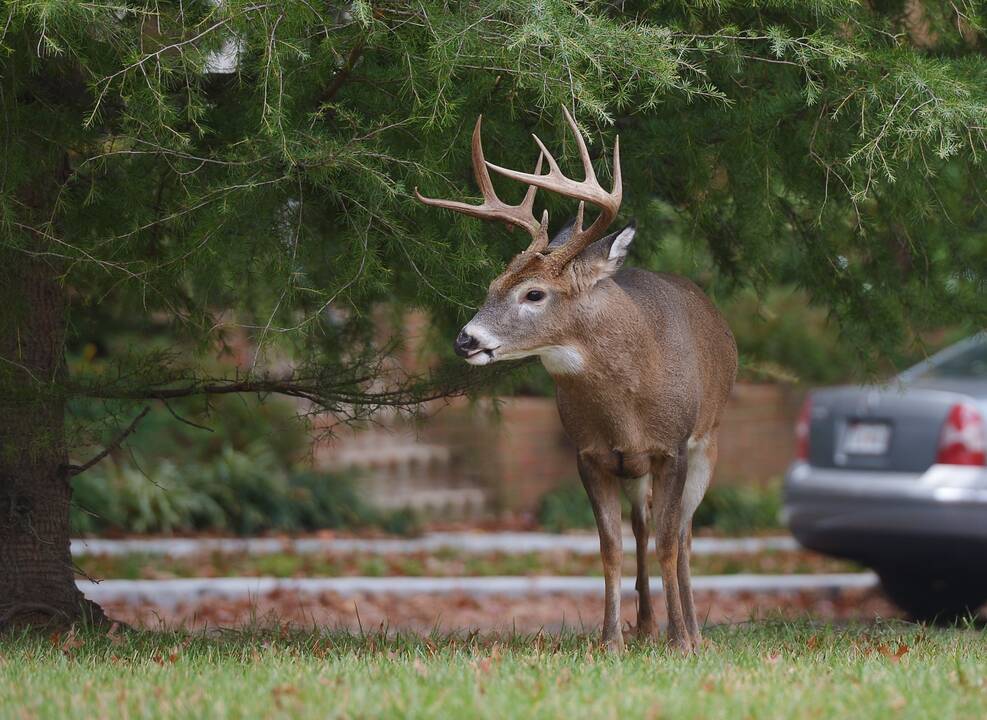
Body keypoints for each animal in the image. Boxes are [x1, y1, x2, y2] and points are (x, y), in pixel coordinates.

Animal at [412, 108, 736, 652]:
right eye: (491, 285)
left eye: (534, 293)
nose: (465, 340)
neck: (627, 404)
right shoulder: (589, 454)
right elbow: (610, 547)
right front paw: (611, 641)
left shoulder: (672, 447)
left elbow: (671, 543)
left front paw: (682, 641)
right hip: (637, 469)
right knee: (642, 527)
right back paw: (646, 626)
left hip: (709, 443)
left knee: (684, 535)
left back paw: (690, 630)